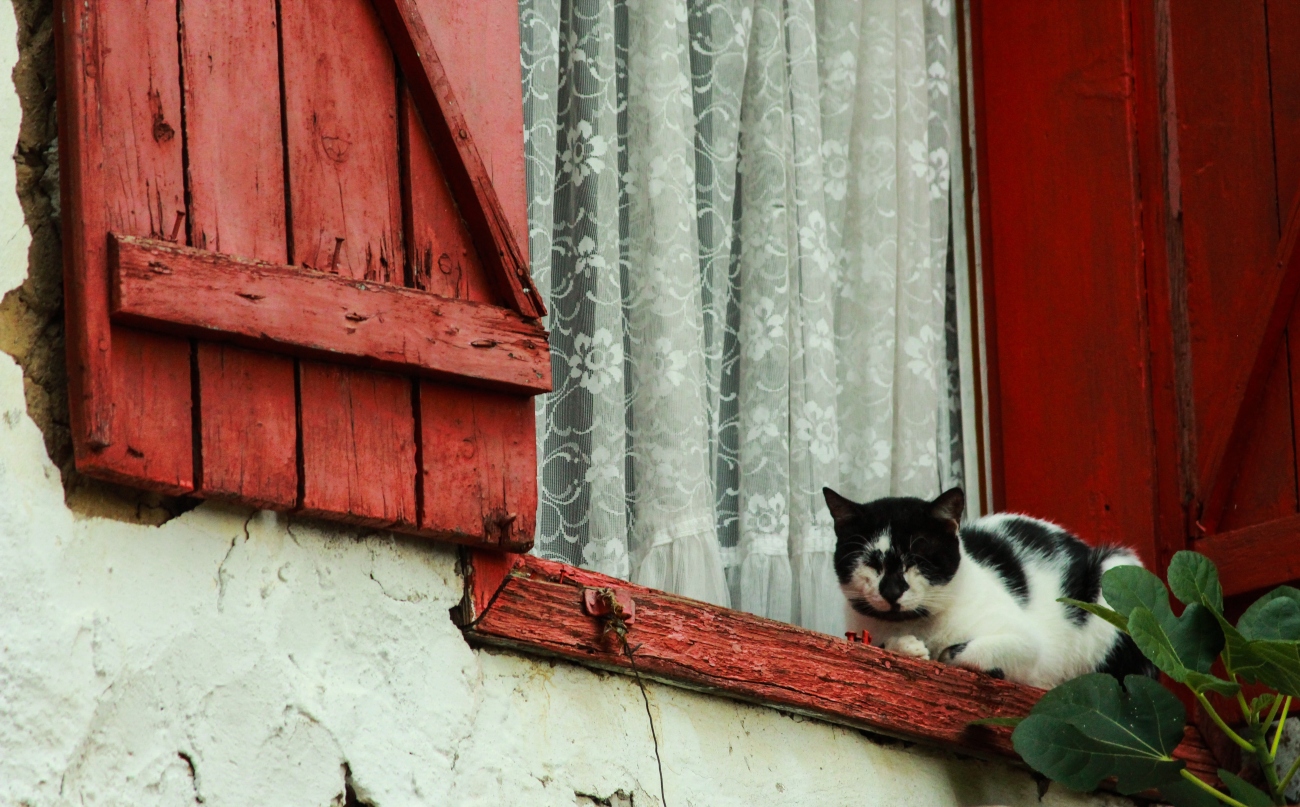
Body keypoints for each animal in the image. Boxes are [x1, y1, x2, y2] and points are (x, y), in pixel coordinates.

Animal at [826, 483, 1154, 686]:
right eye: (872, 562)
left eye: (917, 560)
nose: (892, 591)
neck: (920, 625)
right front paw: (906, 646)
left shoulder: (1026, 639)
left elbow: (962, 652)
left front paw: (945, 654)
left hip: (1114, 570)